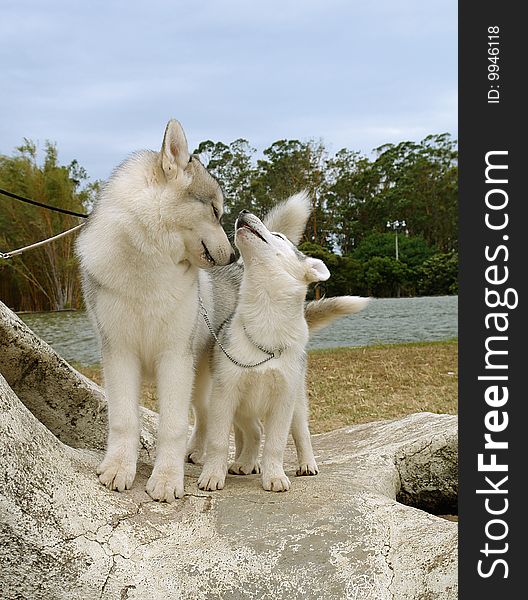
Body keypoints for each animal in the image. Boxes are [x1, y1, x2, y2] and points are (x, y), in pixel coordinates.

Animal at [197, 211, 368, 492]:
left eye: (279, 236)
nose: (243, 212)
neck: (266, 321)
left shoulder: (283, 401)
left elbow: (276, 444)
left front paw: (275, 476)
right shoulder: (225, 394)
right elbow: (218, 442)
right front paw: (212, 474)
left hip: (296, 403)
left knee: (300, 433)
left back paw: (306, 464)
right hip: (242, 408)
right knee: (254, 432)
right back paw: (244, 463)